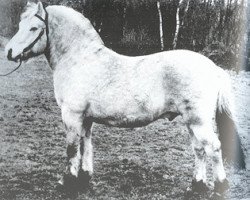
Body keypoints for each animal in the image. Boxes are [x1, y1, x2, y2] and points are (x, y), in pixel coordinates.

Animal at [5, 0, 244, 194]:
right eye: (20, 26)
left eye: (34, 28)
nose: (8, 52)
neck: (79, 59)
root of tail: (214, 68)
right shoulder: (86, 119)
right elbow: (86, 145)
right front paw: (84, 179)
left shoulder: (72, 116)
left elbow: (72, 149)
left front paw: (67, 184)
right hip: (191, 122)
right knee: (199, 150)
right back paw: (197, 186)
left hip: (199, 121)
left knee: (213, 148)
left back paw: (220, 187)